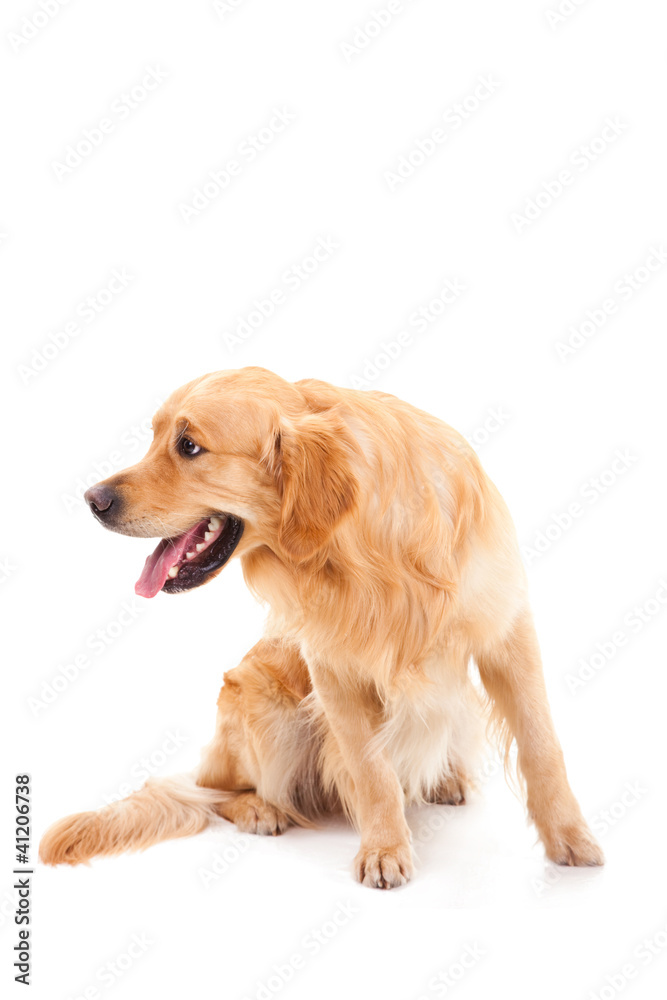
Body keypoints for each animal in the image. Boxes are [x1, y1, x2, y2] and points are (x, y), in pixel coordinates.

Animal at [41, 370, 604, 892]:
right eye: (154, 436)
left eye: (189, 446)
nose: (93, 498)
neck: (370, 550)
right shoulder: (332, 664)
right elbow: (372, 770)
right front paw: (384, 849)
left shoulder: (508, 631)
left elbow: (541, 744)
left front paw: (570, 837)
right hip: (263, 706)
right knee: (215, 792)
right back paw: (259, 809)